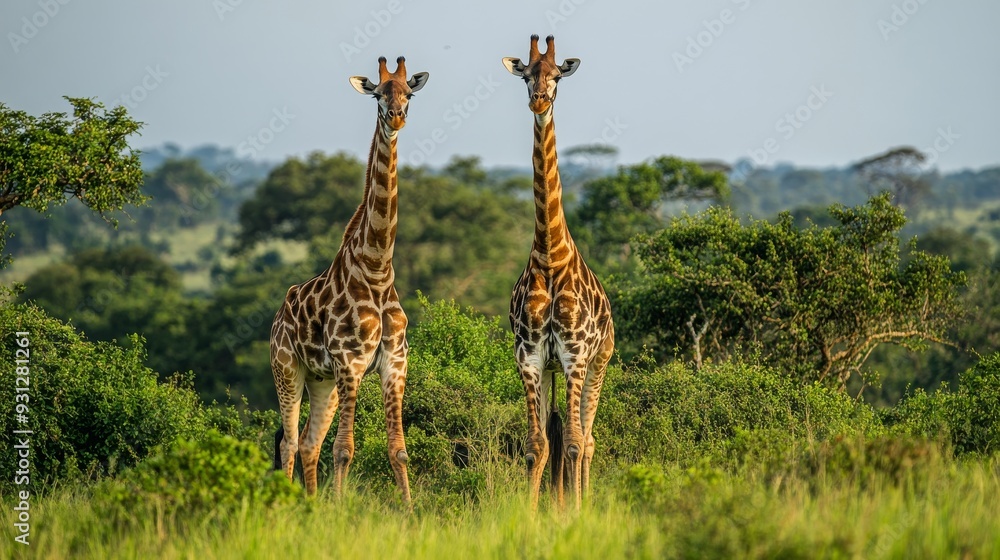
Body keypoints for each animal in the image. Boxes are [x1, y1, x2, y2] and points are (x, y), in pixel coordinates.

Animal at [270, 56, 428, 505]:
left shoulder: (394, 362)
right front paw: (340, 508)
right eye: (378, 95)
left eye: (408, 94)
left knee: (309, 442)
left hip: (322, 381)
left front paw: (410, 511)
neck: (376, 270)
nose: (397, 117)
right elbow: (345, 449)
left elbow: (399, 449)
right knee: (290, 441)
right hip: (287, 369)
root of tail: (277, 317)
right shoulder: (350, 362)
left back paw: (311, 505)